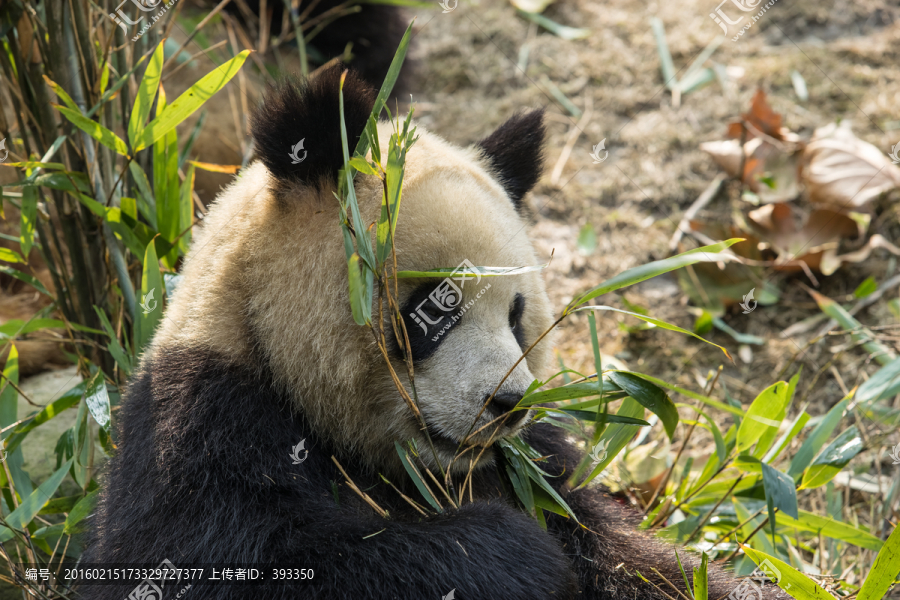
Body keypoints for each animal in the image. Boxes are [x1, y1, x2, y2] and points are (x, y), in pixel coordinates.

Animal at [84, 63, 788, 596]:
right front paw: (516, 557)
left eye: (517, 314)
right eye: (439, 306)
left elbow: (631, 556)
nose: (508, 402)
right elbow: (227, 561)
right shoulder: (207, 418)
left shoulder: (536, 466)